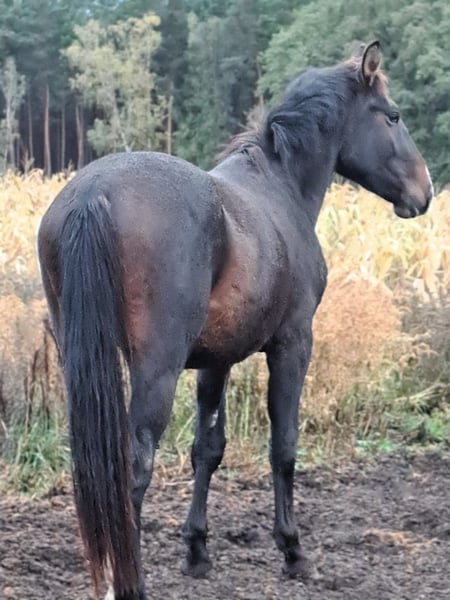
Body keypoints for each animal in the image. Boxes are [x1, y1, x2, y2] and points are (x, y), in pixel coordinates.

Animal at [37, 42, 433, 599]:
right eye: (392, 115)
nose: (425, 191)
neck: (281, 188)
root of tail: (95, 191)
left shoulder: (215, 360)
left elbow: (208, 448)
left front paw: (197, 550)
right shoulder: (293, 345)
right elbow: (283, 447)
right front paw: (292, 550)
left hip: (81, 363)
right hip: (155, 370)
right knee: (134, 467)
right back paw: (130, 582)